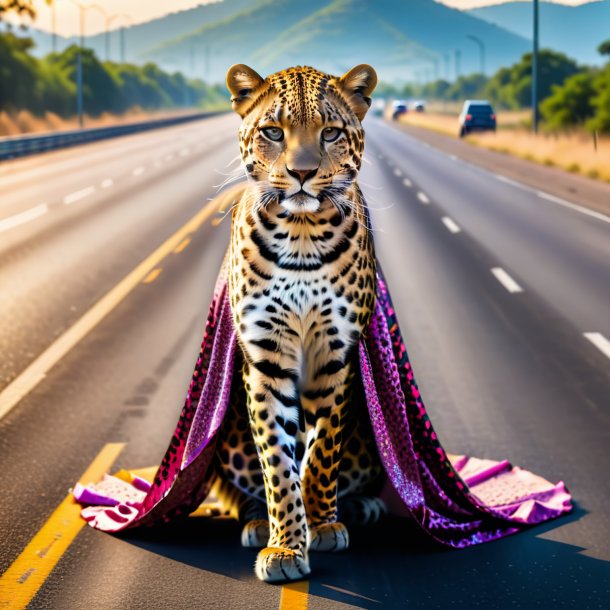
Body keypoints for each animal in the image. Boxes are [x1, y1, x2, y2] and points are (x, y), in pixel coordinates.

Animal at [208, 64, 384, 580]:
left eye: (330, 133)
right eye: (273, 132)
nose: (303, 173)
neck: (303, 235)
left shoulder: (336, 355)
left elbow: (320, 452)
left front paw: (320, 524)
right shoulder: (266, 360)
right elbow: (276, 461)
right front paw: (286, 545)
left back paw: (362, 507)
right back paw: (255, 524)